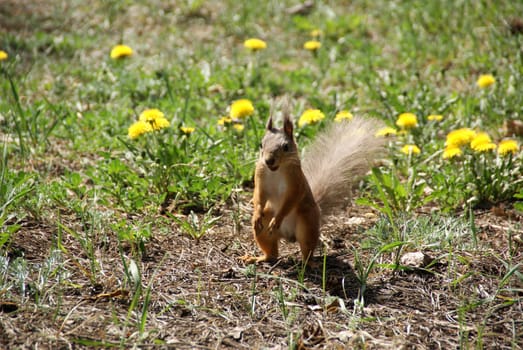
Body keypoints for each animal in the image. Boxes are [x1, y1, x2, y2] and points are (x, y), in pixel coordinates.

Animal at [242, 110, 384, 264]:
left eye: (286, 147)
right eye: (261, 144)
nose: (269, 160)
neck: (276, 170)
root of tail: (288, 235)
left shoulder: (296, 182)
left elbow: (291, 199)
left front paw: (277, 219)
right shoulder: (260, 176)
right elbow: (259, 196)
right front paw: (256, 214)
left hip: (307, 224)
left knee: (307, 249)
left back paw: (309, 264)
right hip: (264, 229)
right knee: (271, 252)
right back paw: (258, 257)